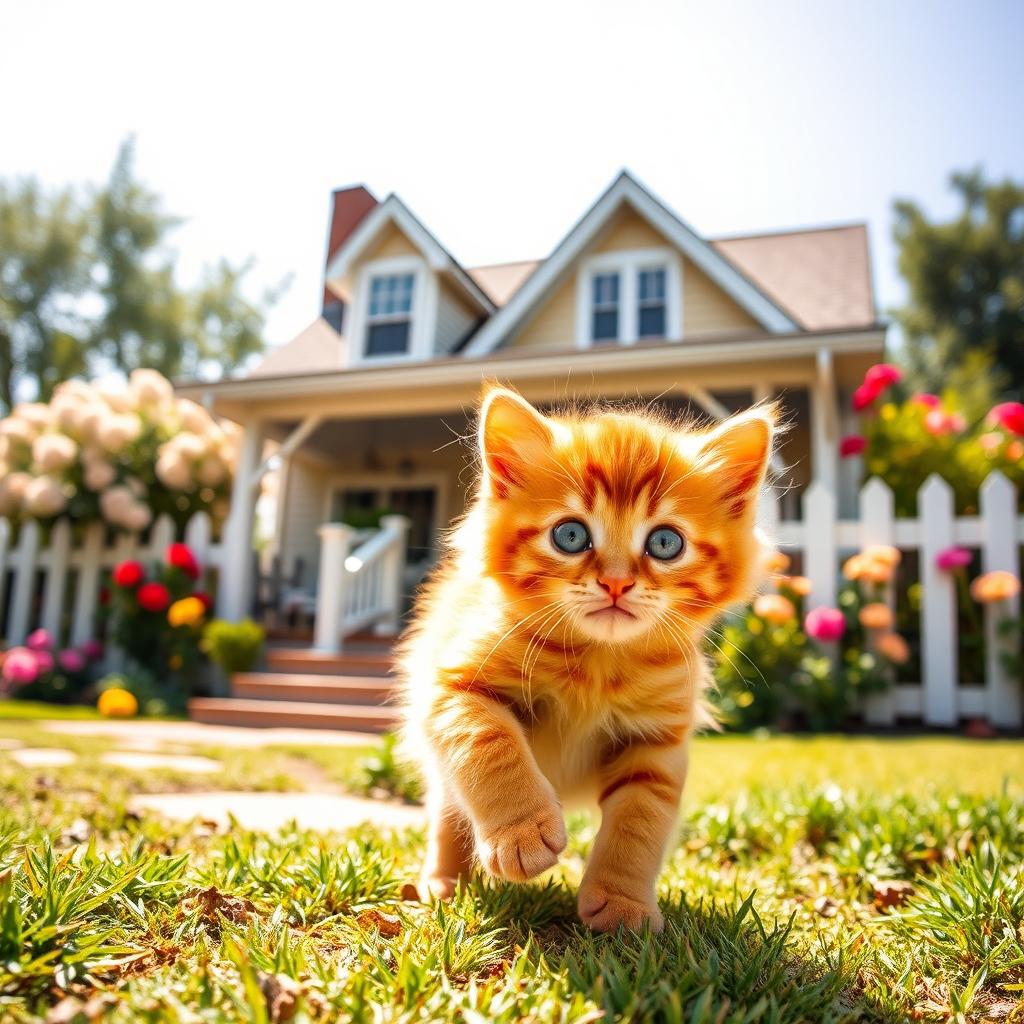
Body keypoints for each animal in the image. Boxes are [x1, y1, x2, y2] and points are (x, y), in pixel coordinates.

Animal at [395, 382, 770, 929]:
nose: (616, 582)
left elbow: (640, 822)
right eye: (570, 536)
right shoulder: (454, 686)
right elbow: (491, 744)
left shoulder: (657, 742)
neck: (598, 662)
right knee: (449, 811)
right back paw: (445, 883)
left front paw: (623, 904)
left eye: (665, 542)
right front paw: (522, 833)